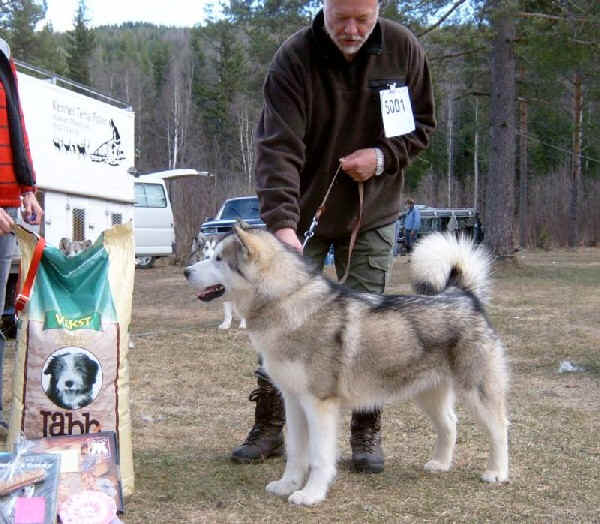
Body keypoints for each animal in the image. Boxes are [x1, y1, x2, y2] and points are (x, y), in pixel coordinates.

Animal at [185, 226, 508, 508]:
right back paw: (440, 464)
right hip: (427, 395)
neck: (288, 303)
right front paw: (288, 485)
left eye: (218, 259)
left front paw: (311, 495)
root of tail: (462, 295)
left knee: (499, 429)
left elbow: (318, 458)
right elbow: (296, 453)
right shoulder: (293, 401)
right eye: (209, 254)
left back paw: (497, 473)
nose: (186, 271)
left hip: (476, 393)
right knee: (450, 424)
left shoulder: (319, 405)